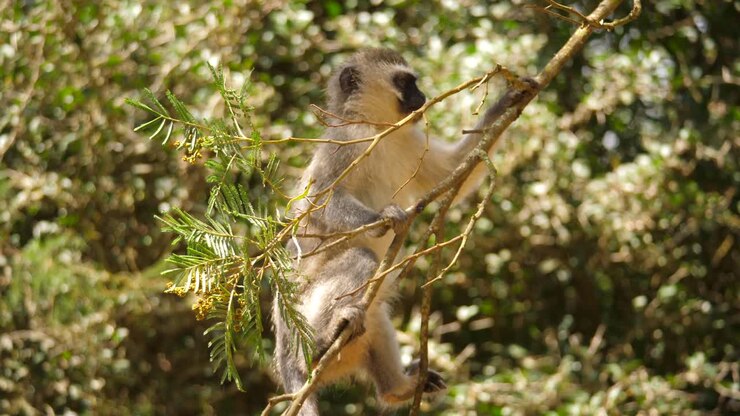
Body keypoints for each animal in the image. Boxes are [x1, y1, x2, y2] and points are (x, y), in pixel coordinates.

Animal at [272, 48, 534, 415]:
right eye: (404, 82)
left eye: (414, 82)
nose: (422, 96)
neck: (378, 130)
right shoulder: (344, 142)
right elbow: (321, 200)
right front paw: (386, 218)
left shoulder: (408, 141)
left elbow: (453, 168)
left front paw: (511, 98)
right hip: (300, 319)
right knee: (361, 259)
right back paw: (320, 346)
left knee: (375, 316)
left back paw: (397, 388)